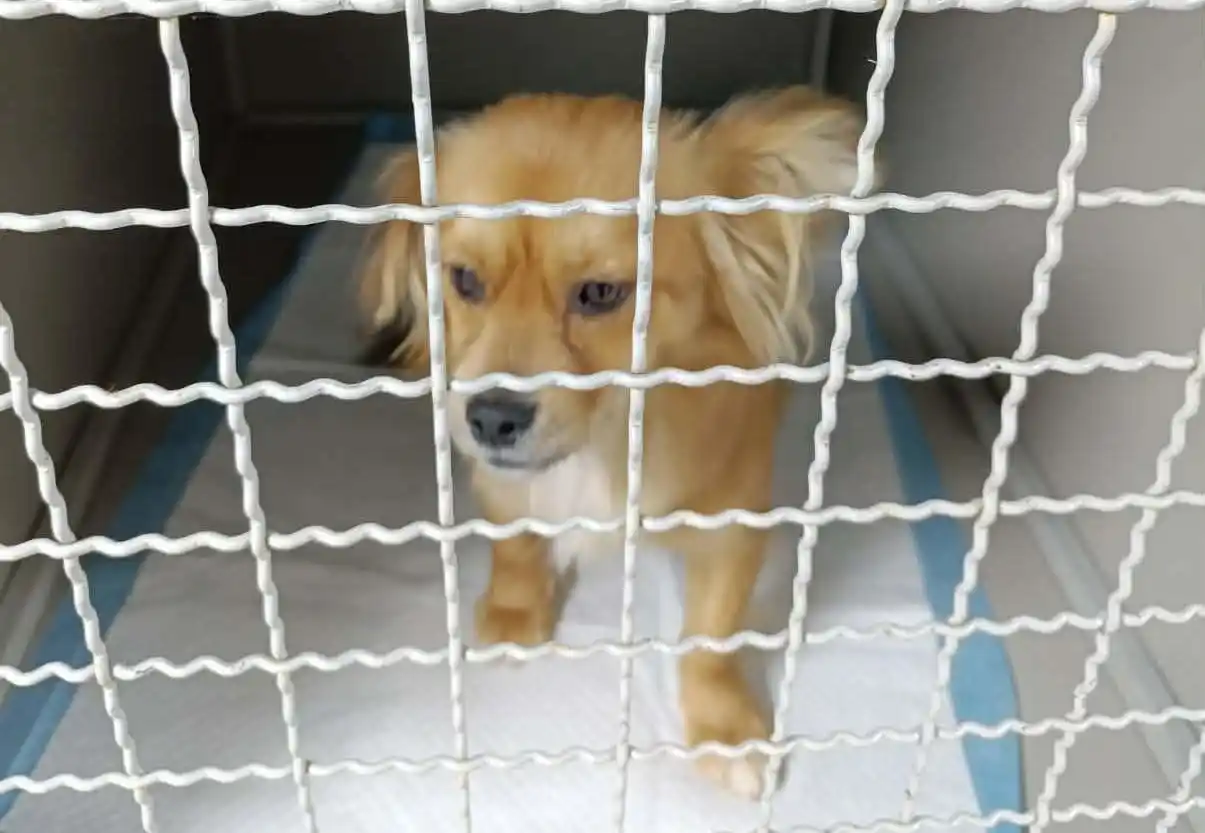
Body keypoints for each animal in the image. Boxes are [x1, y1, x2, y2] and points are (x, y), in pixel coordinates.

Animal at [357, 87, 863, 799]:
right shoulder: (503, 481)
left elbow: (711, 636)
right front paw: (516, 610)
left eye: (599, 294)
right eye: (464, 281)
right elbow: (516, 545)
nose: (492, 416)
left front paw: (724, 727)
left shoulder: (731, 527)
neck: (605, 438)